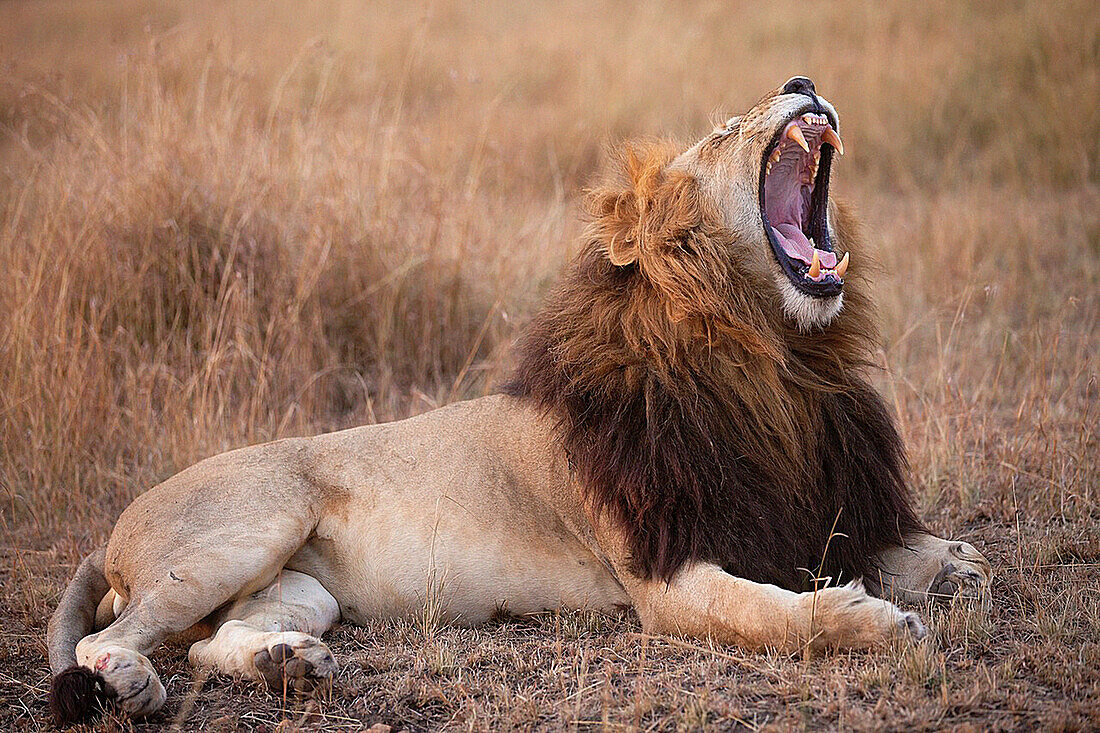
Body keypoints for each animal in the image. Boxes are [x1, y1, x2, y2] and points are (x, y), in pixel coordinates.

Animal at [47, 77, 994, 721]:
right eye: (725, 130)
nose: (801, 82)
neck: (777, 362)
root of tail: (112, 532)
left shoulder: (806, 502)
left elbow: (913, 550)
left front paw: (952, 562)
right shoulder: (664, 573)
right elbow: (773, 615)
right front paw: (872, 622)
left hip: (301, 586)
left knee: (216, 639)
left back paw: (290, 663)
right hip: (246, 526)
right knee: (108, 637)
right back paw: (131, 679)